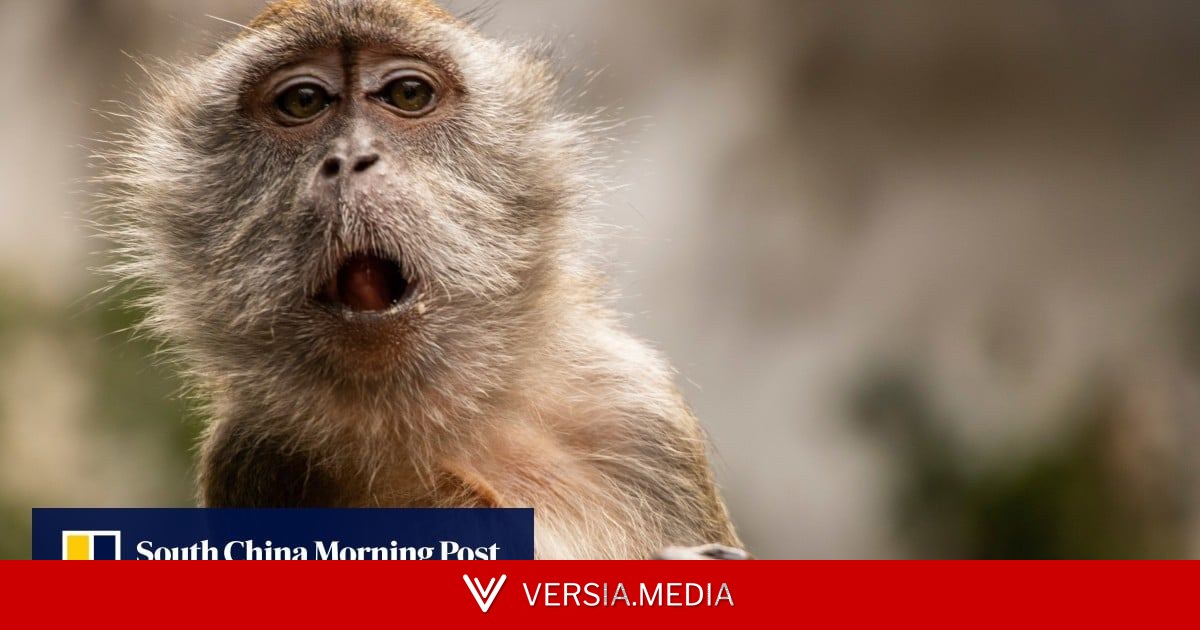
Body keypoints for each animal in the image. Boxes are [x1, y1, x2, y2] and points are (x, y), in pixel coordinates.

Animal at [98, 0, 744, 560]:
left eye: (407, 93)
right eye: (304, 101)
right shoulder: (257, 455)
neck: (436, 417)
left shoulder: (635, 411)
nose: (349, 159)